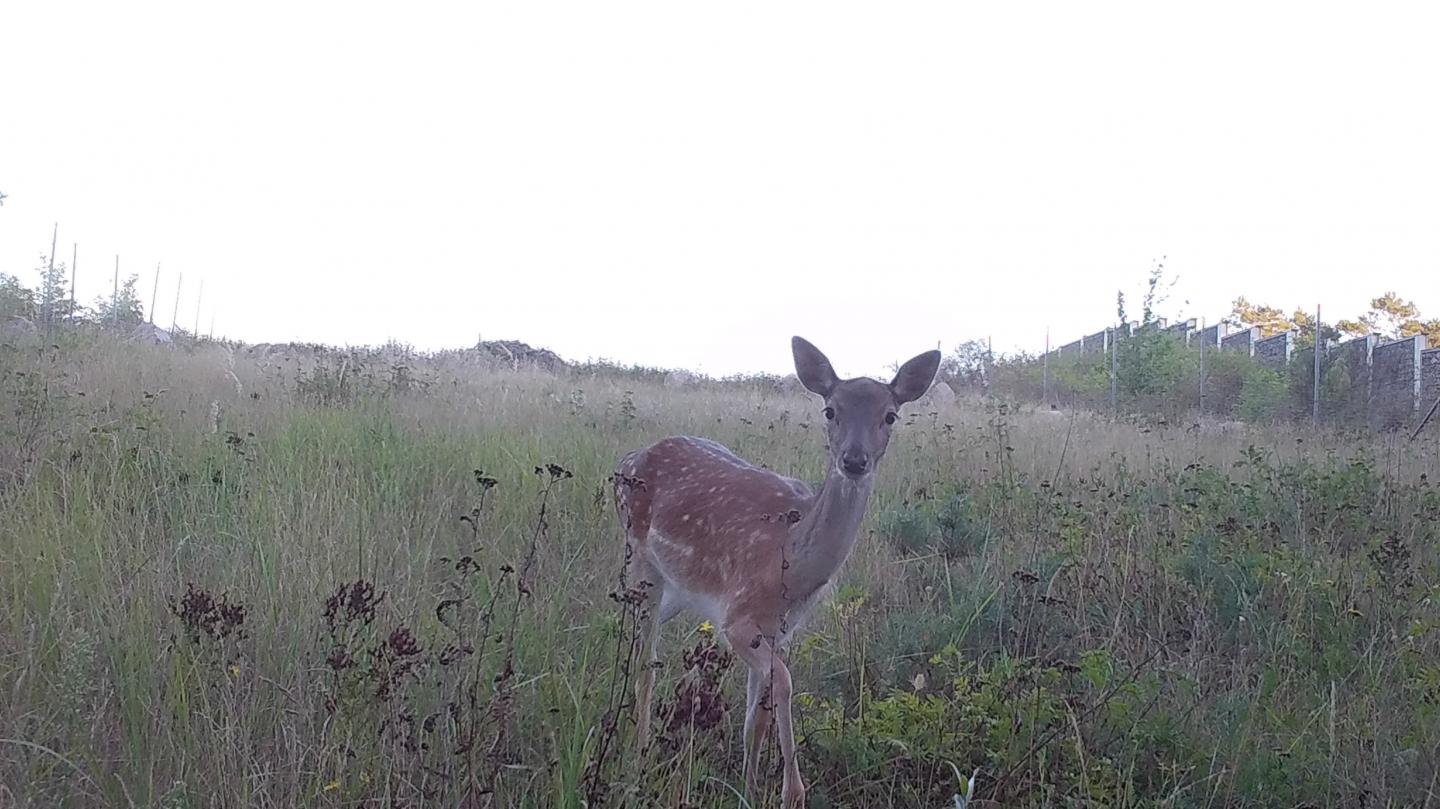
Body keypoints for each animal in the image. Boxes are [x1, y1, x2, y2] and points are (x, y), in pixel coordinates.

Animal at [610, 332, 938, 800]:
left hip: (677, 589)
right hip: (640, 558)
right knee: (645, 660)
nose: (854, 460)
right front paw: (791, 791)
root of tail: (629, 459)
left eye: (890, 415)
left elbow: (756, 717)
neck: (789, 567)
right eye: (830, 410)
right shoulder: (737, 617)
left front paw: (748, 789)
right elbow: (782, 682)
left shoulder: (781, 629)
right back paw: (636, 757)